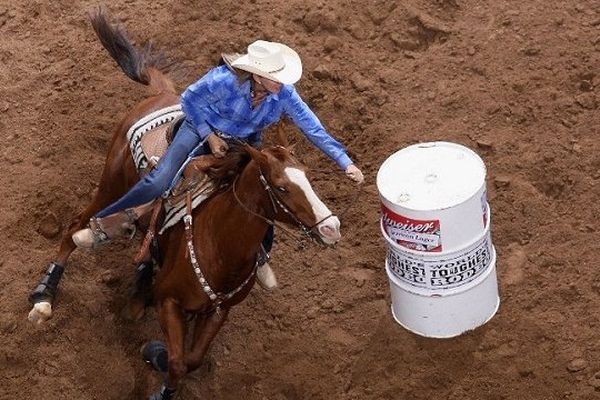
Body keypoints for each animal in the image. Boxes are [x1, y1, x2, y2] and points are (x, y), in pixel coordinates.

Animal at [27, 9, 342, 400]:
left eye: (309, 178)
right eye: (282, 188)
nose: (332, 227)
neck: (219, 247)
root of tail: (164, 94)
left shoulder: (218, 311)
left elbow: (191, 360)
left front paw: (156, 352)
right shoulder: (169, 302)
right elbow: (177, 362)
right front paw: (158, 364)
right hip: (111, 184)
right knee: (76, 228)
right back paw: (45, 295)